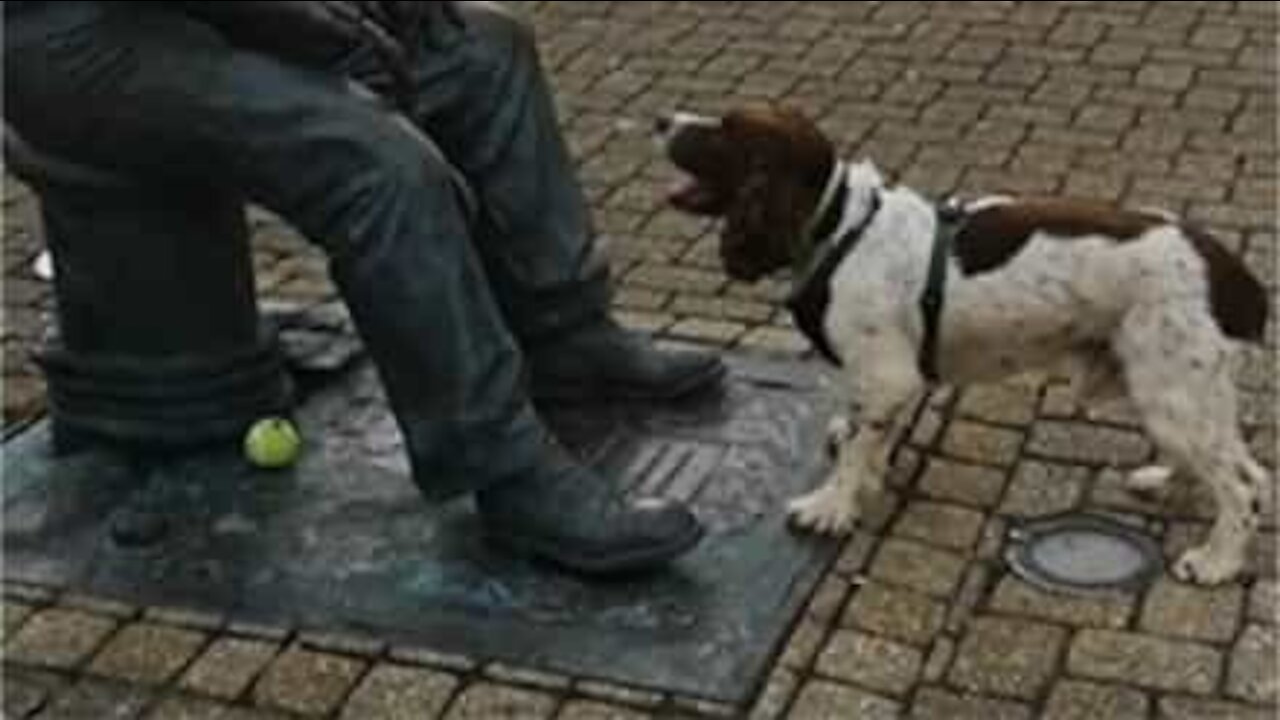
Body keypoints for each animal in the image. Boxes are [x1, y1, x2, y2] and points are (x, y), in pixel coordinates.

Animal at [660, 103, 1269, 584]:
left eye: (726, 129)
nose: (662, 120)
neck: (839, 227)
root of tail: (1236, 276)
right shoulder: (894, 382)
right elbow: (868, 437)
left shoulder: (887, 376)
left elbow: (855, 447)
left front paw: (830, 507)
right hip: (1180, 391)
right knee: (1236, 467)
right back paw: (1166, 482)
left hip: (1172, 389)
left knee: (1242, 487)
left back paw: (1216, 561)